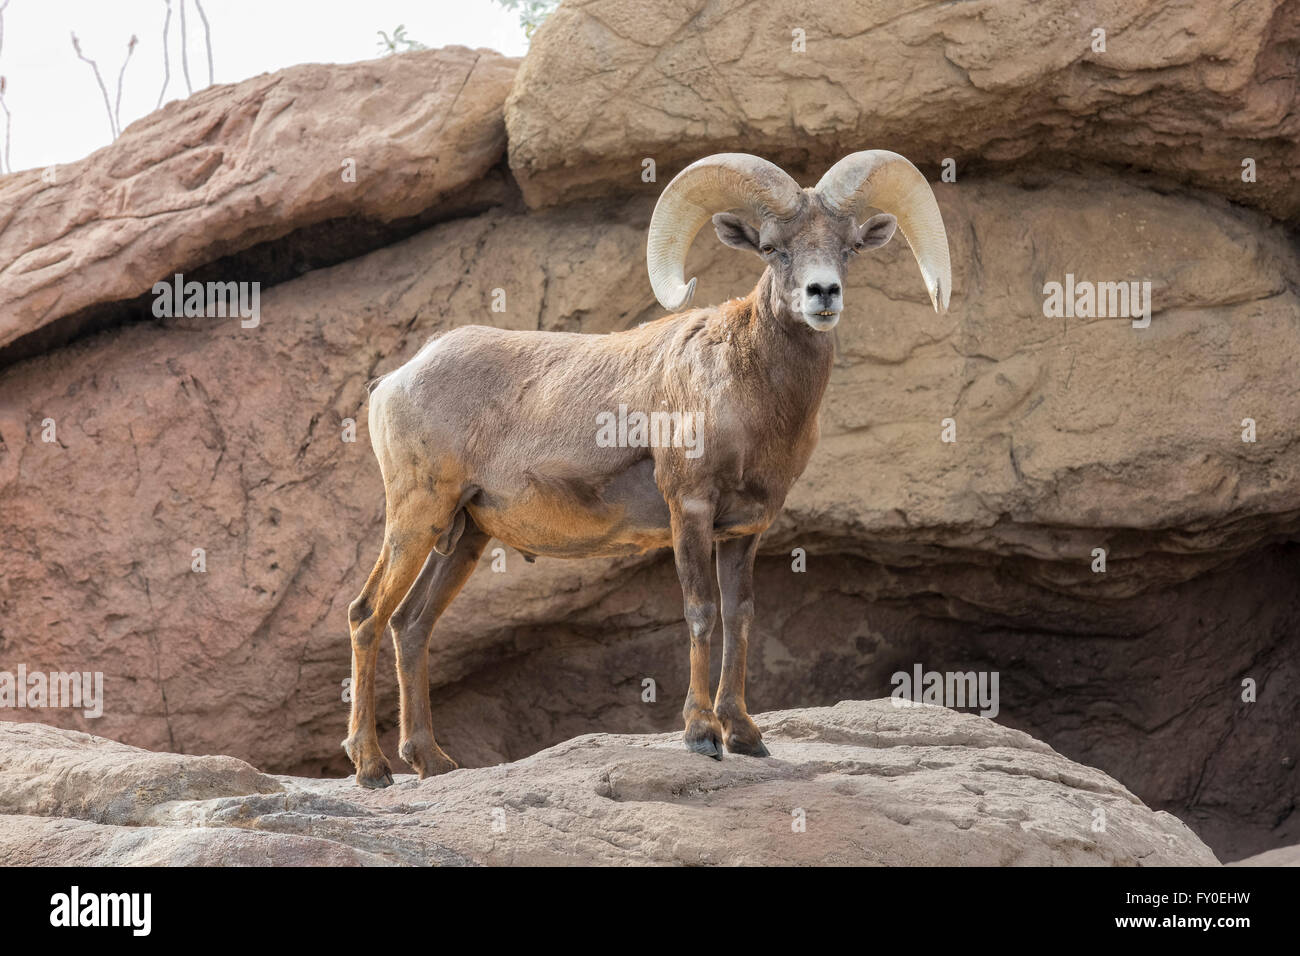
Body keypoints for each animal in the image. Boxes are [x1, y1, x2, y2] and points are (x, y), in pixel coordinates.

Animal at [345, 153, 951, 790]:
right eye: (772, 248)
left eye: (849, 246)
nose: (823, 293)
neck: (749, 390)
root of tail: (394, 381)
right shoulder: (690, 510)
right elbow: (701, 613)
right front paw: (702, 736)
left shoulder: (745, 531)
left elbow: (739, 618)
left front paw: (746, 736)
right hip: (417, 514)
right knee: (367, 615)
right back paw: (372, 769)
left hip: (462, 537)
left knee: (410, 625)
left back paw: (431, 762)